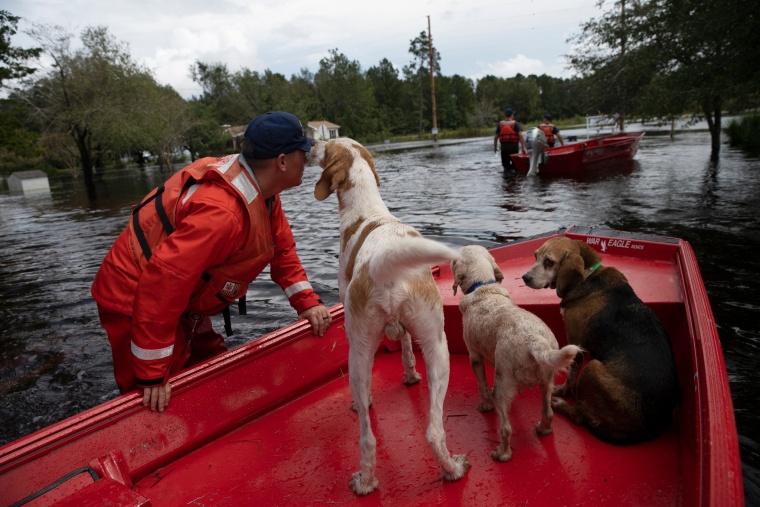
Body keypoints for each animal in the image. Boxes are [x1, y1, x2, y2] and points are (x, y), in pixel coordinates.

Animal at [448, 246, 580, 464]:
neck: (483, 286)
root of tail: (535, 341)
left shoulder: (474, 356)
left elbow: (482, 385)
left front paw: (485, 405)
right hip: (547, 381)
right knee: (548, 413)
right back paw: (543, 429)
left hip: (501, 388)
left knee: (506, 428)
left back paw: (502, 454)